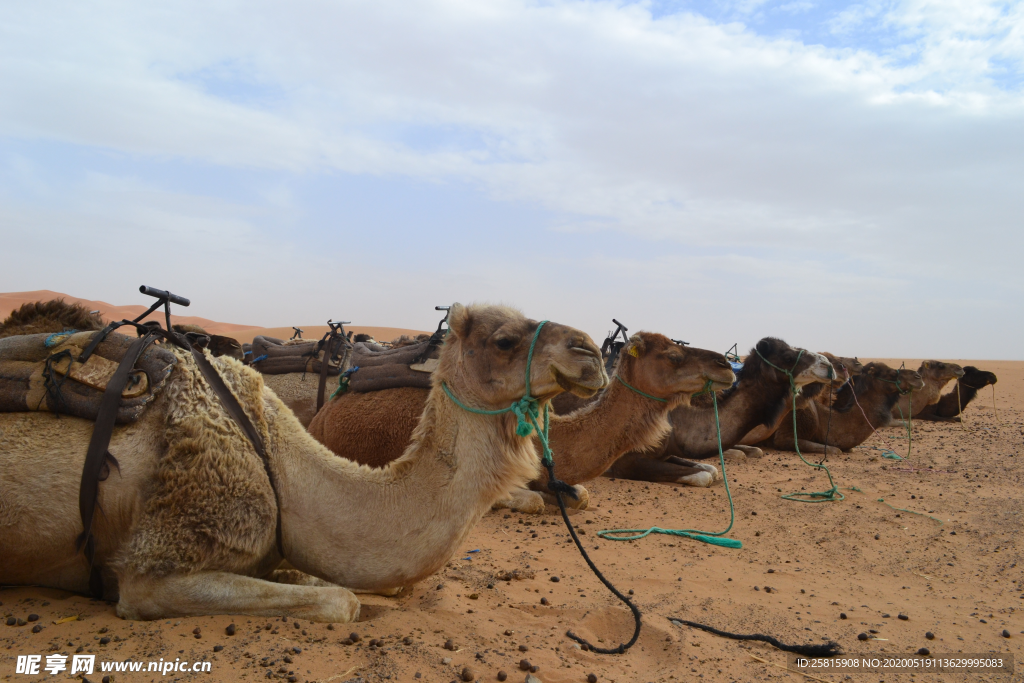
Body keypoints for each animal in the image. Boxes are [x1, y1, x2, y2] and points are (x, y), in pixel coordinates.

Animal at [602, 339, 835, 483]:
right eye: (787, 356)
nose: (828, 365)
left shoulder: (667, 452)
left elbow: (710, 469)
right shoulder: (627, 460)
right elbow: (704, 476)